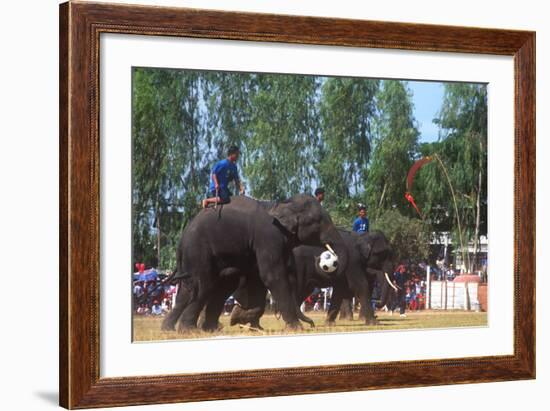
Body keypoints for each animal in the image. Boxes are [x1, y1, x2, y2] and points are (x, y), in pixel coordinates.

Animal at [162, 195, 350, 334]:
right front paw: (295, 328)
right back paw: (190, 330)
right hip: (198, 251)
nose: (312, 324)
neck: (283, 203)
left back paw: (177, 329)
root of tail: (182, 238)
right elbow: (272, 276)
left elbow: (258, 279)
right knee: (204, 285)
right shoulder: (268, 237)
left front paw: (245, 320)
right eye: (318, 221)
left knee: (194, 289)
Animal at [232, 232, 396, 328]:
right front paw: (375, 323)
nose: (377, 304)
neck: (362, 236)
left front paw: (329, 324)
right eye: (383, 253)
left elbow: (339, 291)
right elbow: (360, 286)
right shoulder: (353, 262)